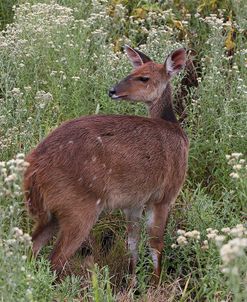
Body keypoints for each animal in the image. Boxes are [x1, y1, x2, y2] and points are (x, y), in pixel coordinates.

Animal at [23, 45, 189, 284]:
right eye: (133, 72)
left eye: (144, 77)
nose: (112, 90)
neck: (176, 133)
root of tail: (33, 169)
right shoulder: (164, 196)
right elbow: (155, 243)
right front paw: (156, 284)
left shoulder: (134, 202)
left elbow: (132, 242)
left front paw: (132, 282)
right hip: (80, 209)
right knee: (55, 259)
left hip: (52, 214)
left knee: (30, 249)